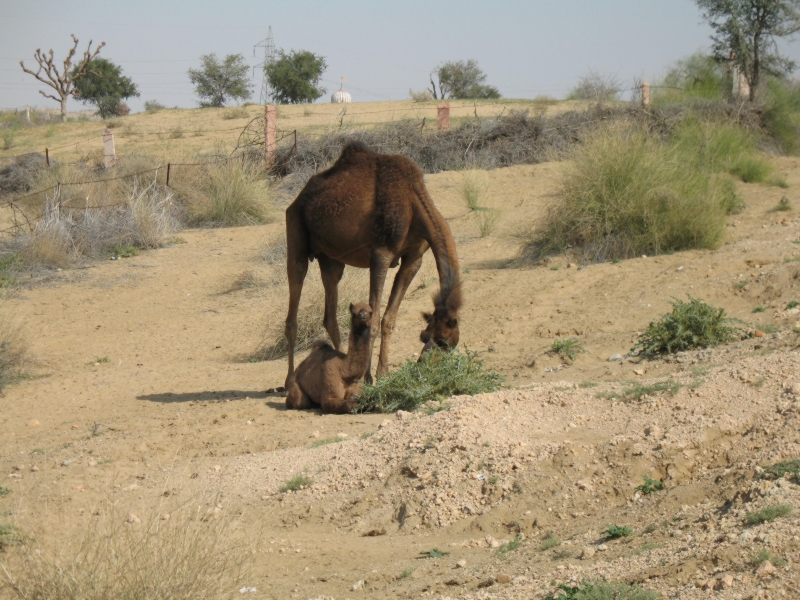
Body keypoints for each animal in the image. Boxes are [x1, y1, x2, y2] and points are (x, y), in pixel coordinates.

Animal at [286, 139, 462, 384]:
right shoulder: (381, 253)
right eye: (426, 336)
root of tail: (297, 198)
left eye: (449, 343)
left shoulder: (414, 258)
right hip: (295, 231)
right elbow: (374, 316)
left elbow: (389, 318)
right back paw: (289, 380)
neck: (413, 198)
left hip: (330, 259)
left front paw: (383, 373)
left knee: (330, 314)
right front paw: (368, 378)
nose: (426, 366)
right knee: (294, 300)